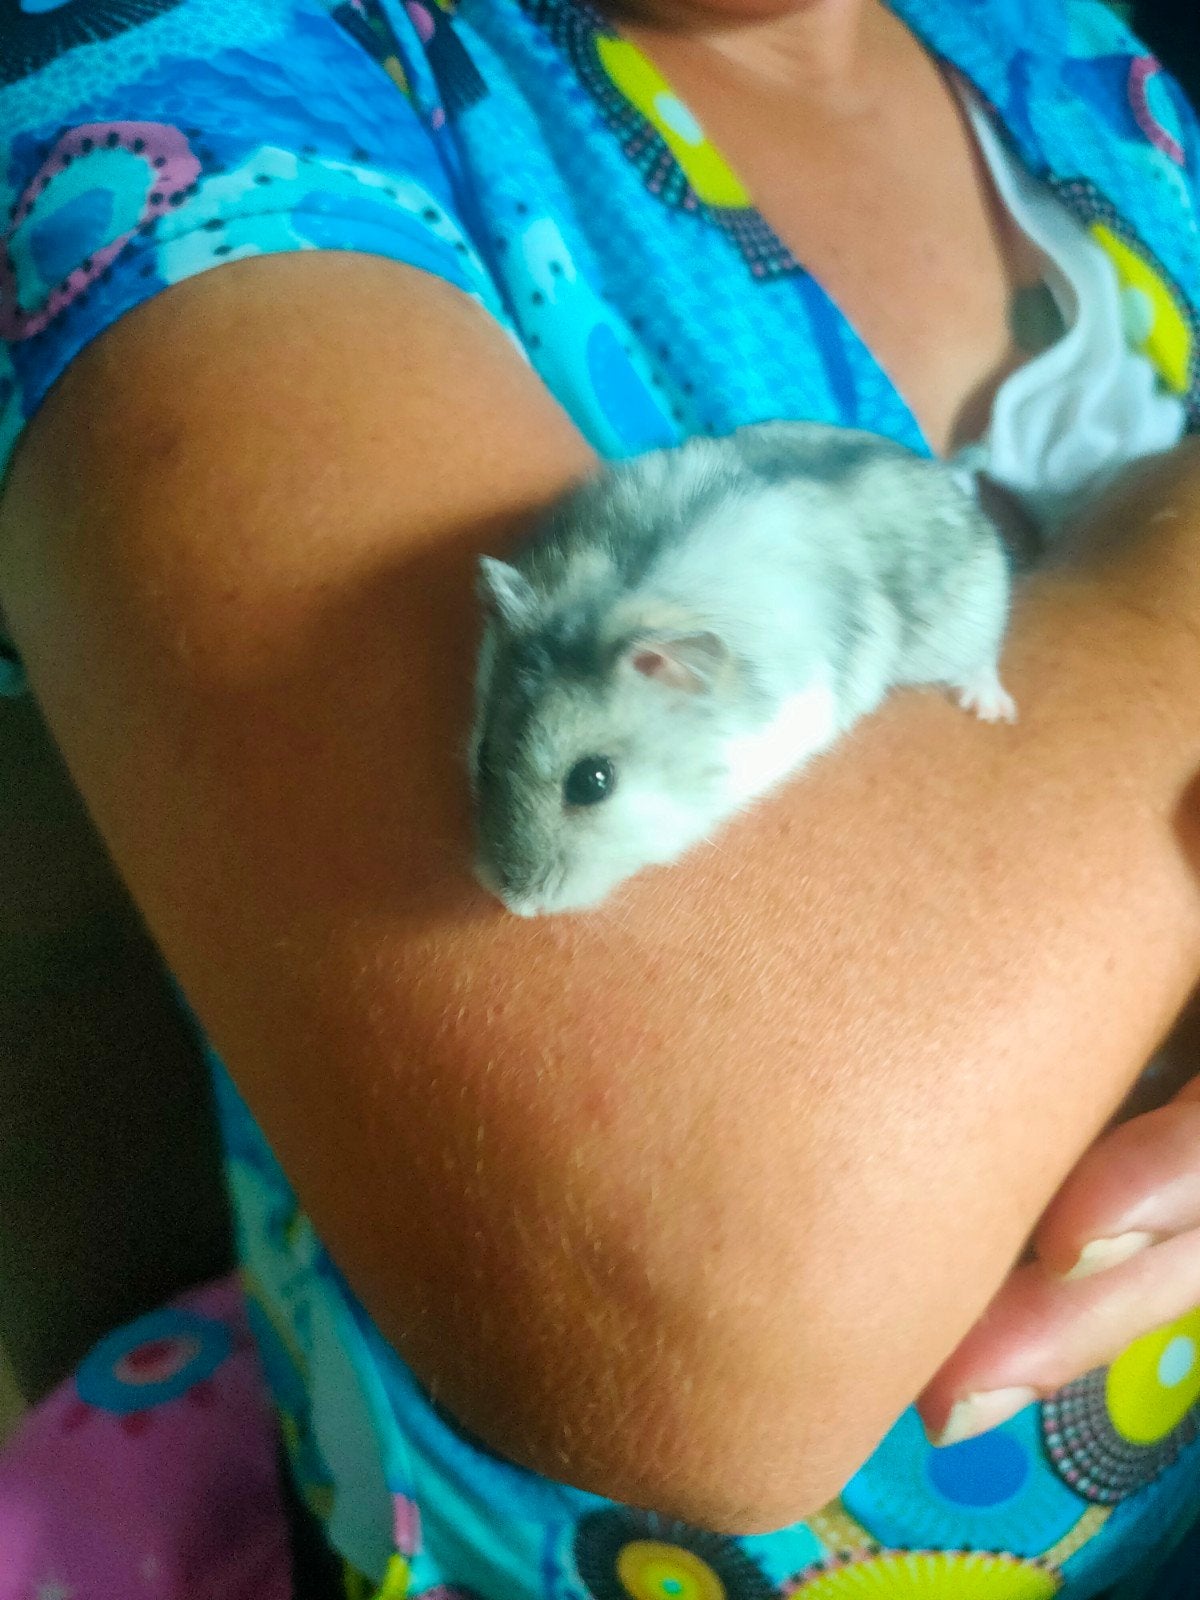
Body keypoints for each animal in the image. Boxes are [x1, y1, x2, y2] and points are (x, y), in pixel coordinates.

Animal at [470, 420, 1016, 917]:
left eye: (593, 781)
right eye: (482, 757)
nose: (515, 903)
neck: (614, 602)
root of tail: (945, 473)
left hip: (965, 625)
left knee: (982, 657)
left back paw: (990, 709)